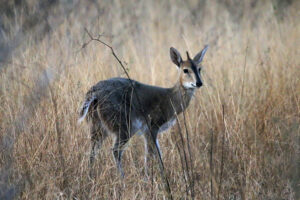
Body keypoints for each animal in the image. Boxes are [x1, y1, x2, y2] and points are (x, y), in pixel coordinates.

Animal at [78, 45, 209, 177]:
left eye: (199, 68)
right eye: (185, 70)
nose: (199, 83)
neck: (170, 100)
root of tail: (95, 92)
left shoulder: (147, 131)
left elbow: (156, 154)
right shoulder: (152, 126)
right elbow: (151, 155)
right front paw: (152, 178)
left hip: (98, 126)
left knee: (92, 151)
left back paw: (90, 176)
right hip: (123, 126)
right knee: (115, 150)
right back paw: (122, 178)